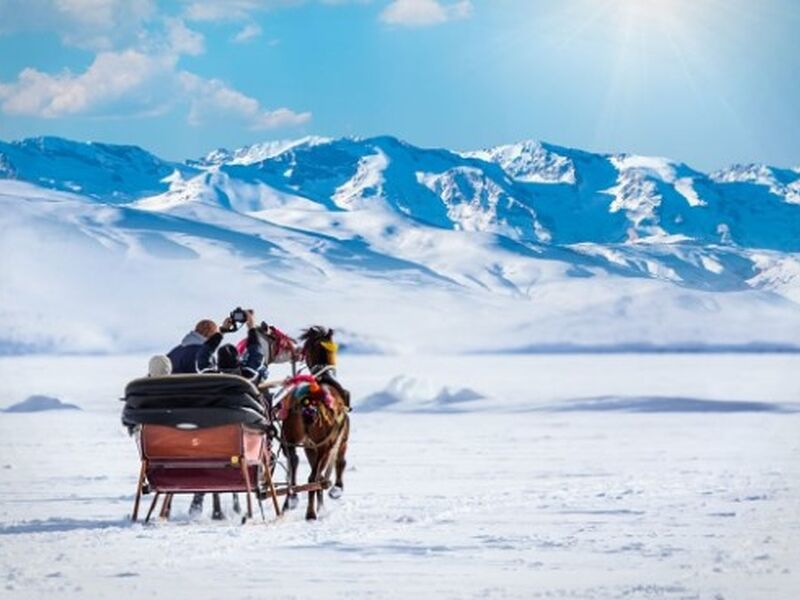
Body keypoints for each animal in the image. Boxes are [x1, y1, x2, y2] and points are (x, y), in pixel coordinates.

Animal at [282, 326, 350, 516]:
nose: (298, 354)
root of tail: (308, 402)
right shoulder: (339, 440)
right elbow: (340, 462)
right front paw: (336, 490)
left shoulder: (309, 447)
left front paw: (320, 503)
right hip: (324, 445)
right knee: (313, 477)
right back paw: (311, 513)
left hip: (290, 440)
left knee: (293, 465)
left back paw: (292, 498)